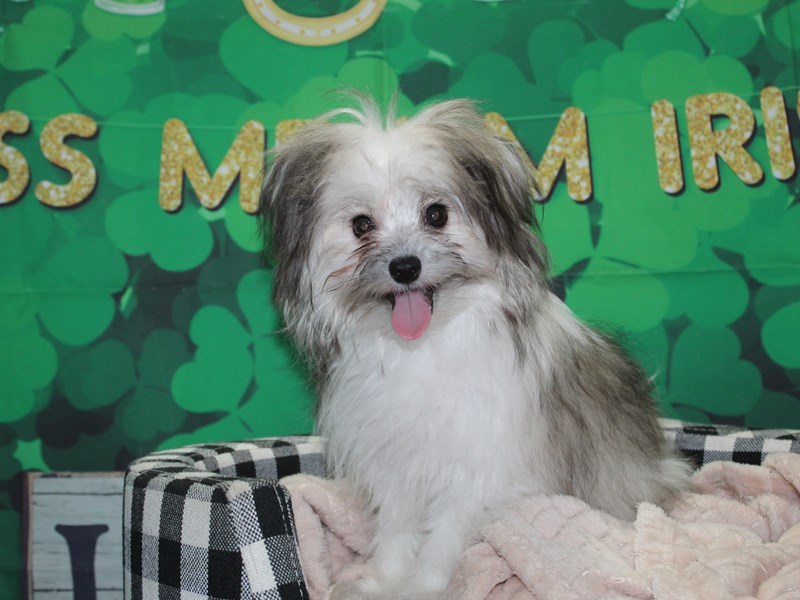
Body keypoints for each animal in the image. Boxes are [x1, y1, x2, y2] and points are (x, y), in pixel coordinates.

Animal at [260, 94, 691, 598]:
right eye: (361, 225)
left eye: (436, 214)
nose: (405, 266)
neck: (424, 348)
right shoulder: (394, 460)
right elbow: (396, 528)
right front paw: (385, 580)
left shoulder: (477, 470)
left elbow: (443, 537)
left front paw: (424, 588)